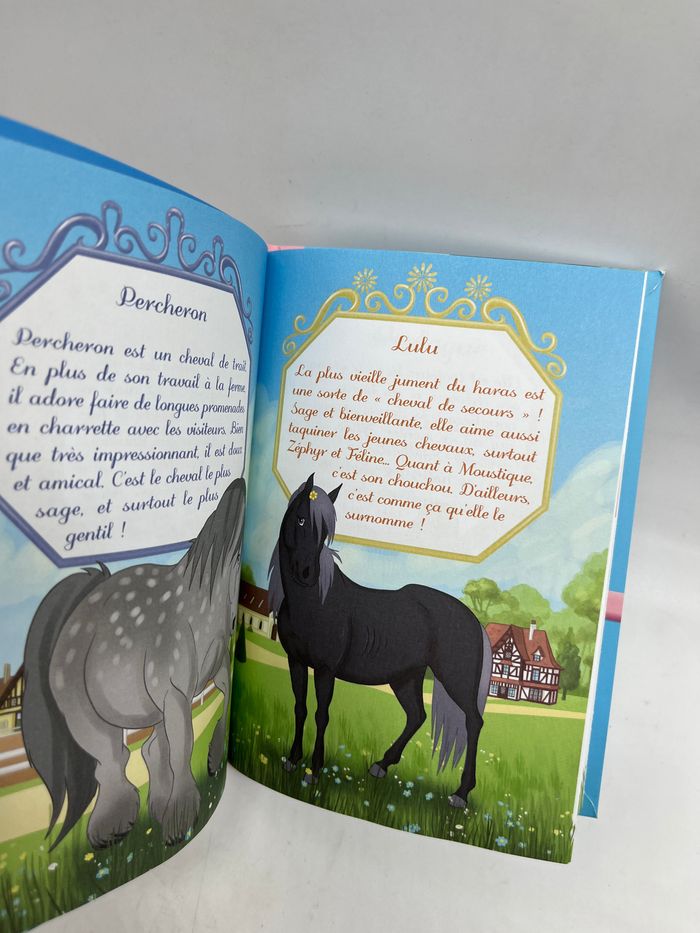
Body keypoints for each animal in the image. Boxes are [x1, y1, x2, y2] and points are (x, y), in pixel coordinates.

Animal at [22, 478, 245, 850]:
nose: (238, 486)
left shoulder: (214, 672)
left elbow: (224, 700)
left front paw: (213, 759)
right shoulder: (175, 693)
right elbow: (182, 749)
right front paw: (182, 816)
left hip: (150, 709)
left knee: (150, 751)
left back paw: (152, 811)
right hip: (85, 716)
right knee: (112, 760)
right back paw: (113, 827)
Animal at [269, 474, 492, 808]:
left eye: (324, 533)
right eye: (300, 519)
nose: (307, 573)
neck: (316, 601)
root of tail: (474, 621)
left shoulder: (325, 670)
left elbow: (321, 715)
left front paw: (314, 771)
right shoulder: (295, 661)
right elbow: (300, 708)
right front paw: (292, 761)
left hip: (456, 681)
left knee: (473, 722)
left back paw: (460, 794)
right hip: (405, 678)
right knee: (417, 716)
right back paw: (381, 765)